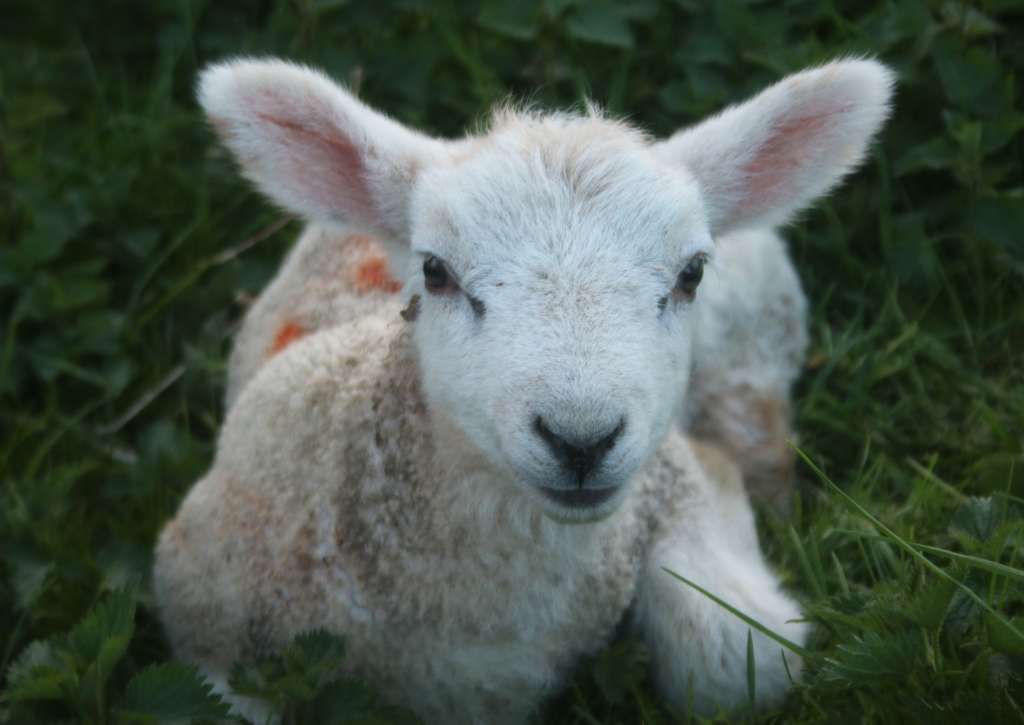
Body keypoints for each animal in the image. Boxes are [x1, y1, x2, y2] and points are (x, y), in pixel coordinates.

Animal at [153, 56, 897, 720]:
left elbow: (739, 663)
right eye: (435, 271)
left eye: (691, 273)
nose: (581, 440)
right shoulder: (204, 602)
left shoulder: (669, 483)